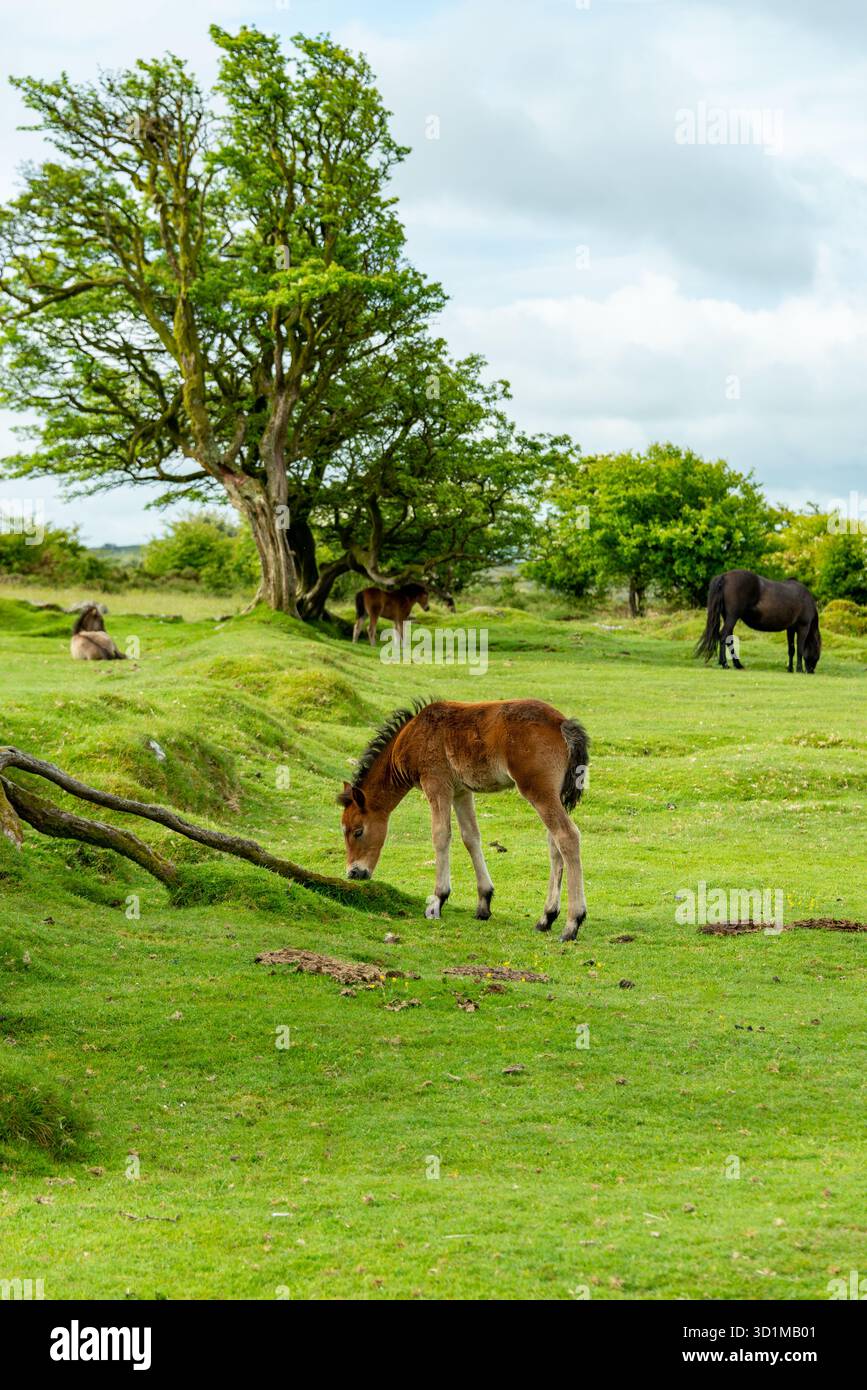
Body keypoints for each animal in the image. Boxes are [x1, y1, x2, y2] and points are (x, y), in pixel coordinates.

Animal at [338, 697, 590, 942]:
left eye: (358, 831)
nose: (354, 873)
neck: (411, 735)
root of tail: (562, 723)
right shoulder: (461, 791)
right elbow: (471, 837)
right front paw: (484, 903)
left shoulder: (437, 784)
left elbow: (441, 835)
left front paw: (438, 900)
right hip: (552, 794)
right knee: (554, 844)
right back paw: (546, 918)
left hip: (538, 790)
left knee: (567, 836)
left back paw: (572, 924)